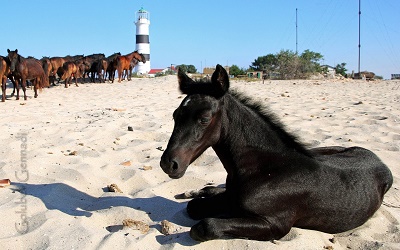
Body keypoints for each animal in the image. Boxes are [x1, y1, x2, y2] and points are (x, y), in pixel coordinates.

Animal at [160, 64, 394, 242]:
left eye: (204, 119)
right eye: (175, 115)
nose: (169, 163)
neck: (266, 169)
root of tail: (379, 160)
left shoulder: (275, 224)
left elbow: (205, 226)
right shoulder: (230, 197)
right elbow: (196, 206)